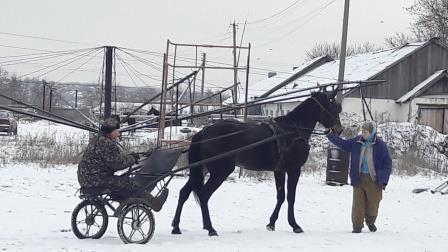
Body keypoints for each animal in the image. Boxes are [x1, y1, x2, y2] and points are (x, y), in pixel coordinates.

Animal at [170, 90, 342, 236]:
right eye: (335, 108)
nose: (339, 129)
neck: (292, 130)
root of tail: (203, 132)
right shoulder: (294, 169)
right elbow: (291, 197)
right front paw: (295, 225)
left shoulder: (279, 170)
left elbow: (281, 196)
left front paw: (271, 223)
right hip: (220, 171)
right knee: (204, 195)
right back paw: (210, 228)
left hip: (201, 169)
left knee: (184, 193)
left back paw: (176, 227)